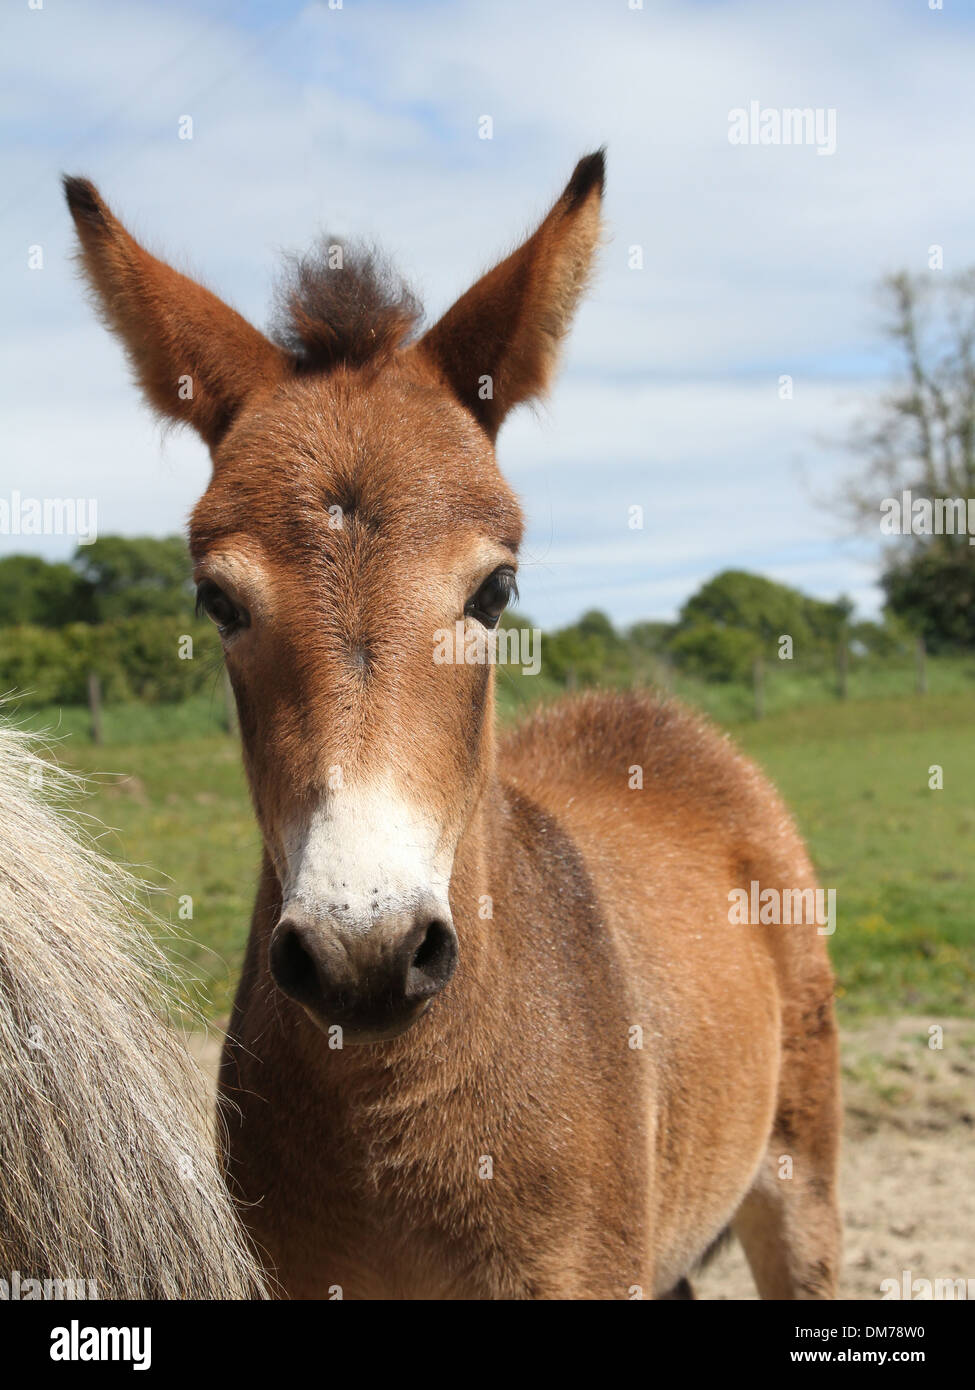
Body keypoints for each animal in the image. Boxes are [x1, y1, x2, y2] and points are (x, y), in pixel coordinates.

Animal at [63, 151, 841, 1300]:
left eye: (495, 588)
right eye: (217, 600)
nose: (365, 955)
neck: (398, 1119)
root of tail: (652, 717)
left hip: (798, 1187)